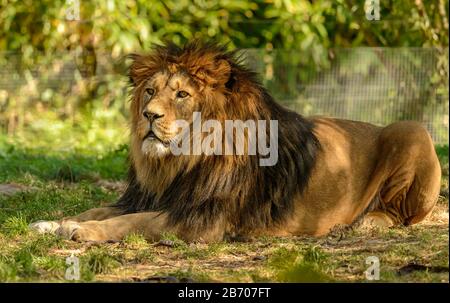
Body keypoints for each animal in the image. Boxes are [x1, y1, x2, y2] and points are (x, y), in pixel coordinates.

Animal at [29, 41, 442, 245]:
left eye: (181, 94)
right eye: (149, 91)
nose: (149, 115)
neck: (179, 162)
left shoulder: (203, 220)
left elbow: (131, 223)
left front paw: (83, 232)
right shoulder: (148, 197)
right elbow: (97, 210)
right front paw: (52, 223)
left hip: (410, 130)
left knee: (401, 216)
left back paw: (363, 224)